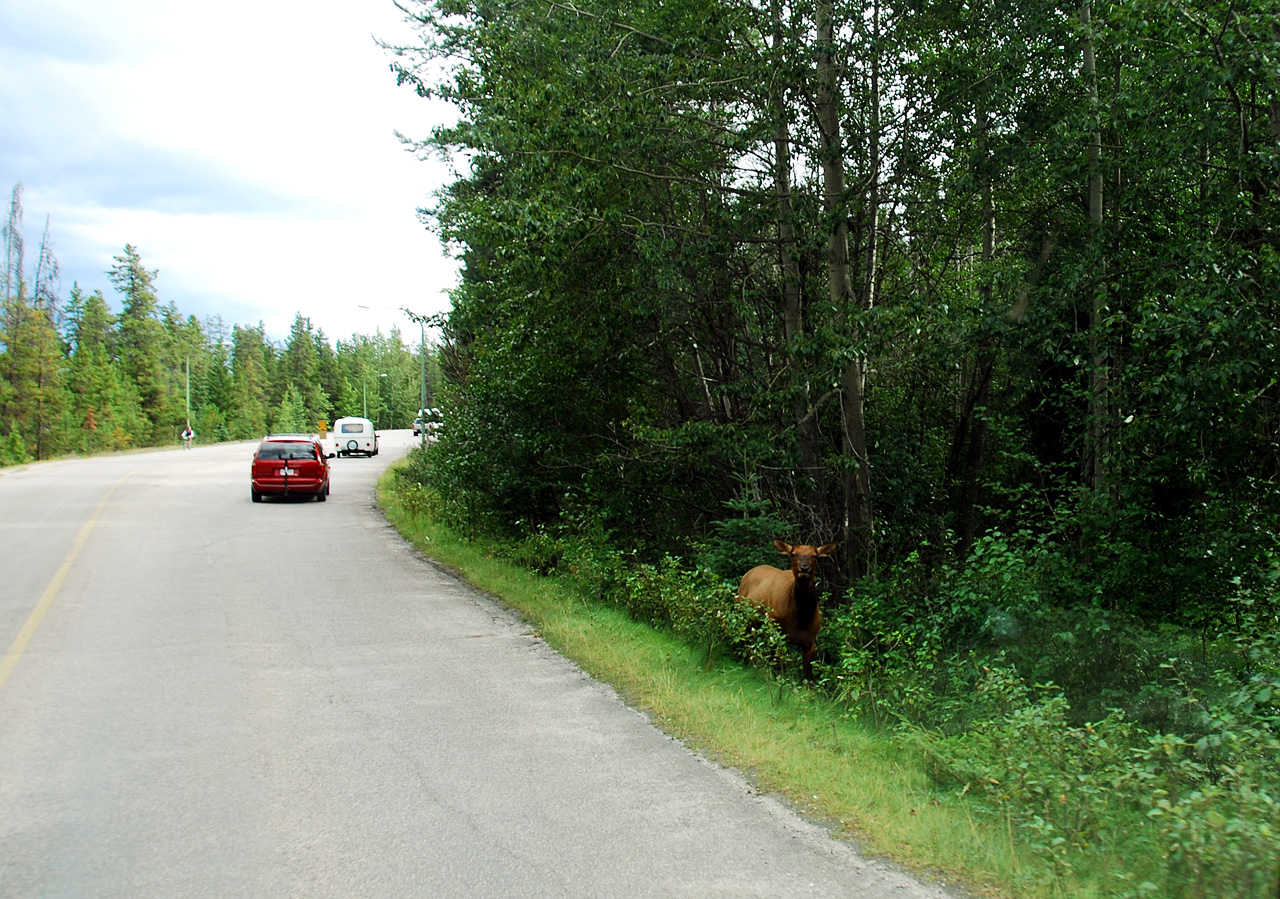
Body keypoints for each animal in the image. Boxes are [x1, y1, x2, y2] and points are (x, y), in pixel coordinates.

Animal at [742, 542, 839, 681]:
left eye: (815, 556)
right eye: (793, 554)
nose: (804, 568)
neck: (801, 618)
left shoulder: (810, 641)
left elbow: (808, 674)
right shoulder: (776, 632)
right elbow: (779, 666)